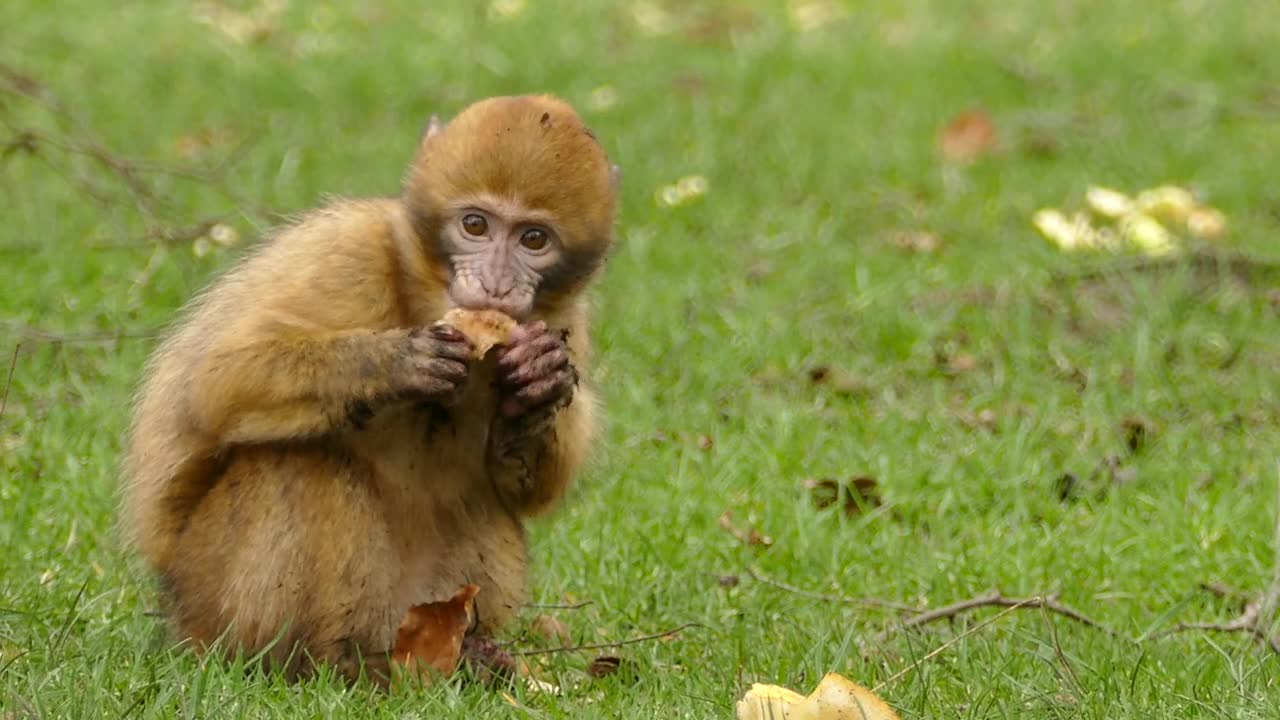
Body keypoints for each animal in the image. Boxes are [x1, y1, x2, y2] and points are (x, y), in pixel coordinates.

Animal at [122, 95, 622, 681]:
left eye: (534, 239)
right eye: (475, 225)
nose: (496, 284)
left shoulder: (567, 318)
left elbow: (525, 489)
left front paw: (539, 383)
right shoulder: (349, 254)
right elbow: (216, 382)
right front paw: (396, 363)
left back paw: (466, 654)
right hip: (208, 597)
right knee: (294, 462)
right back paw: (323, 665)